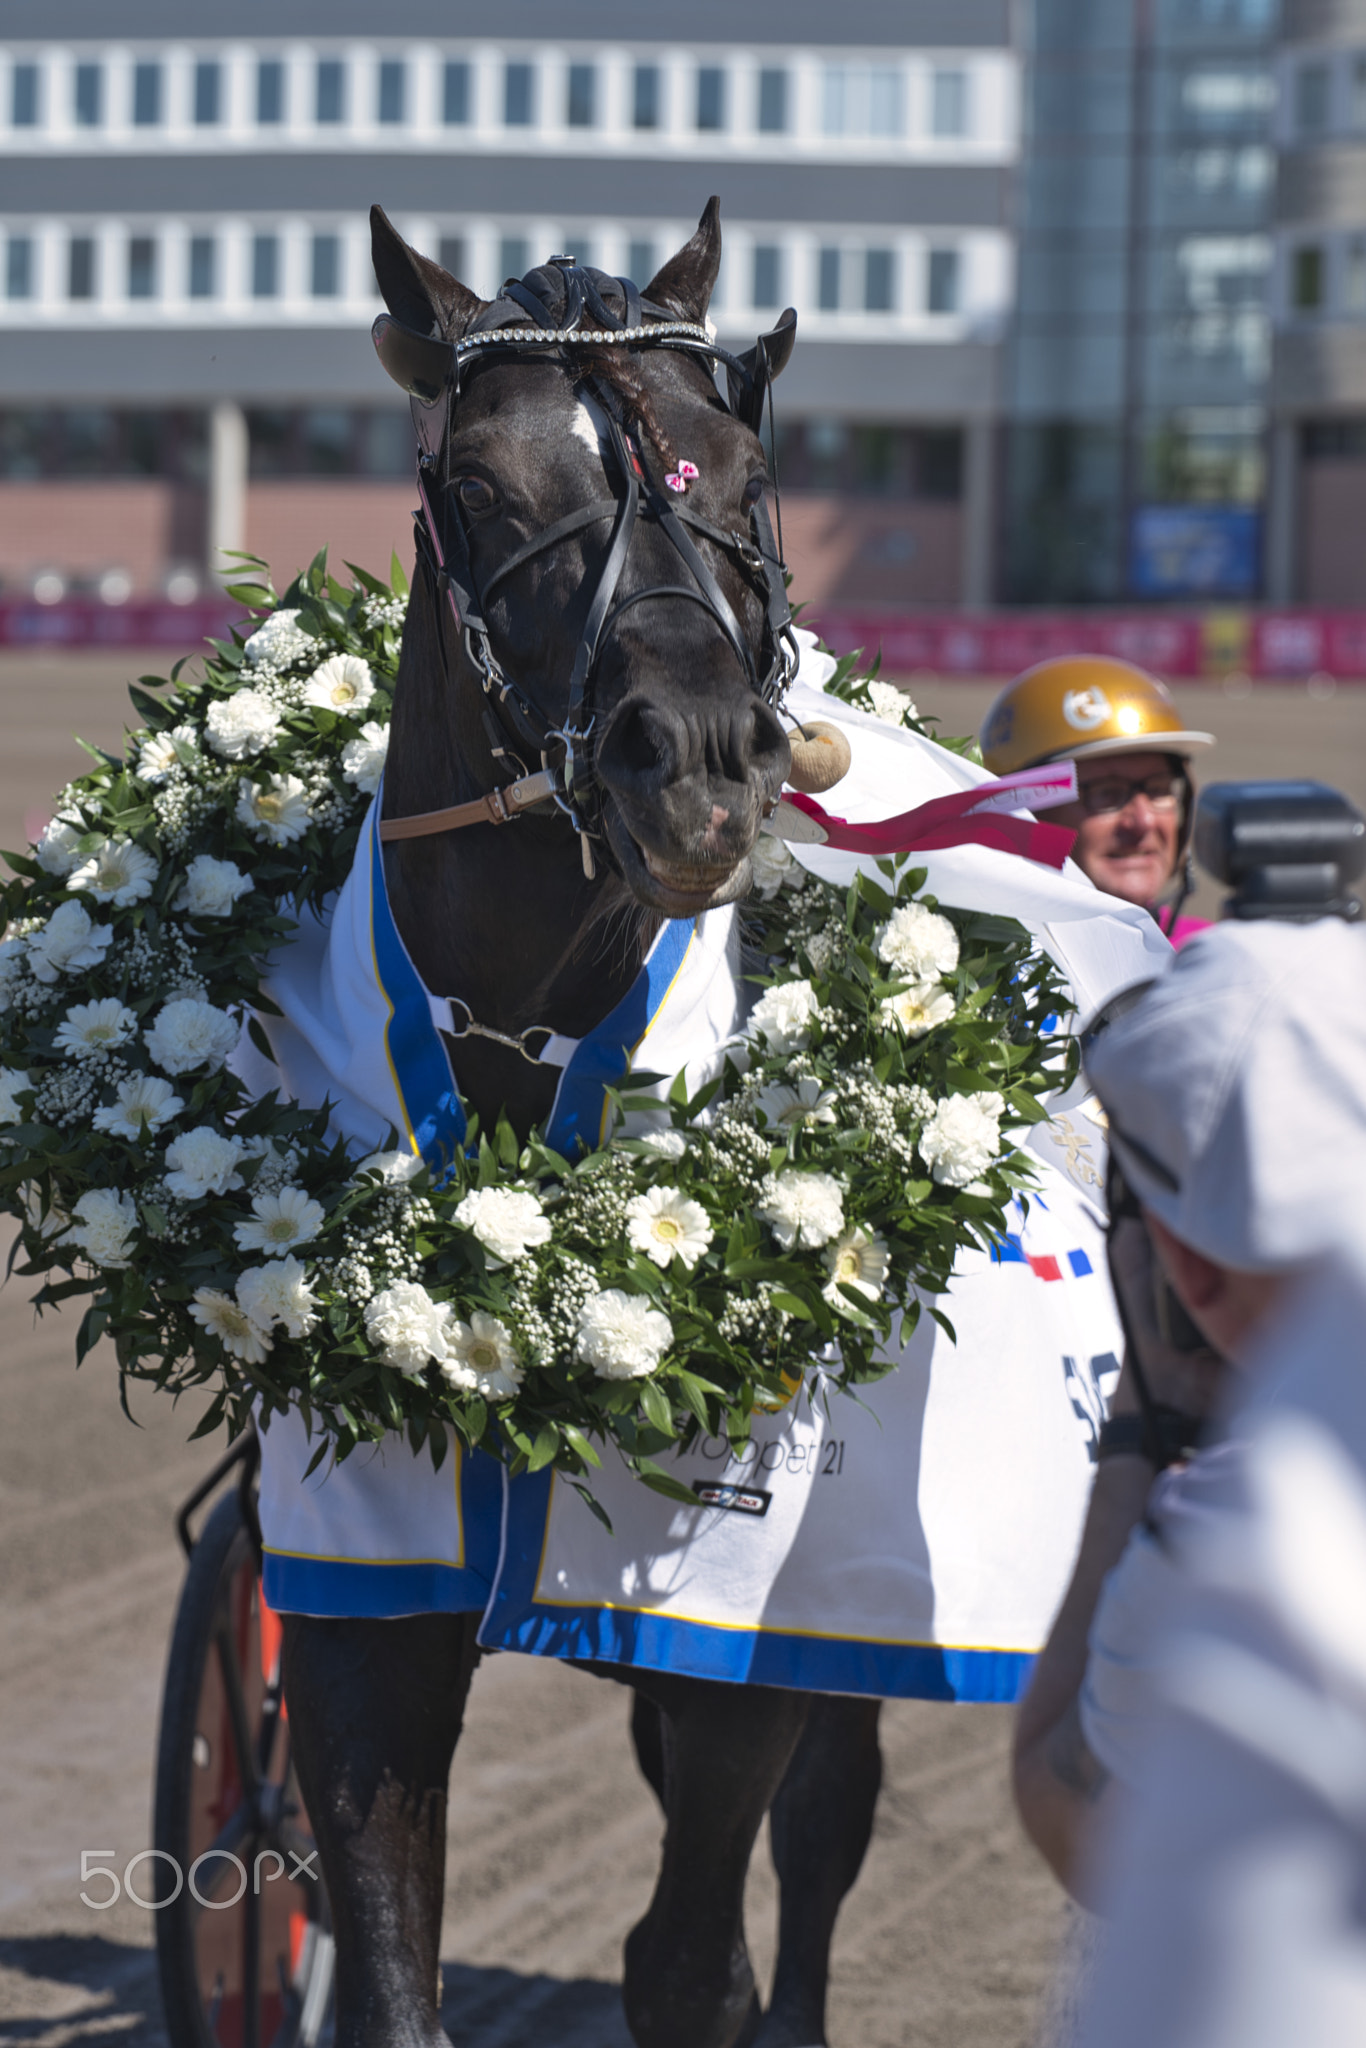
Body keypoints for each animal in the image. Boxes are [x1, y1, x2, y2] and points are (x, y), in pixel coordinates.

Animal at [276, 203, 888, 2048]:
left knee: (821, 1837)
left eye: (742, 470)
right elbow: (389, 1961)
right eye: (478, 484)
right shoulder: (360, 1602)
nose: (688, 764)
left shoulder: (729, 1616)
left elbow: (693, 1956)